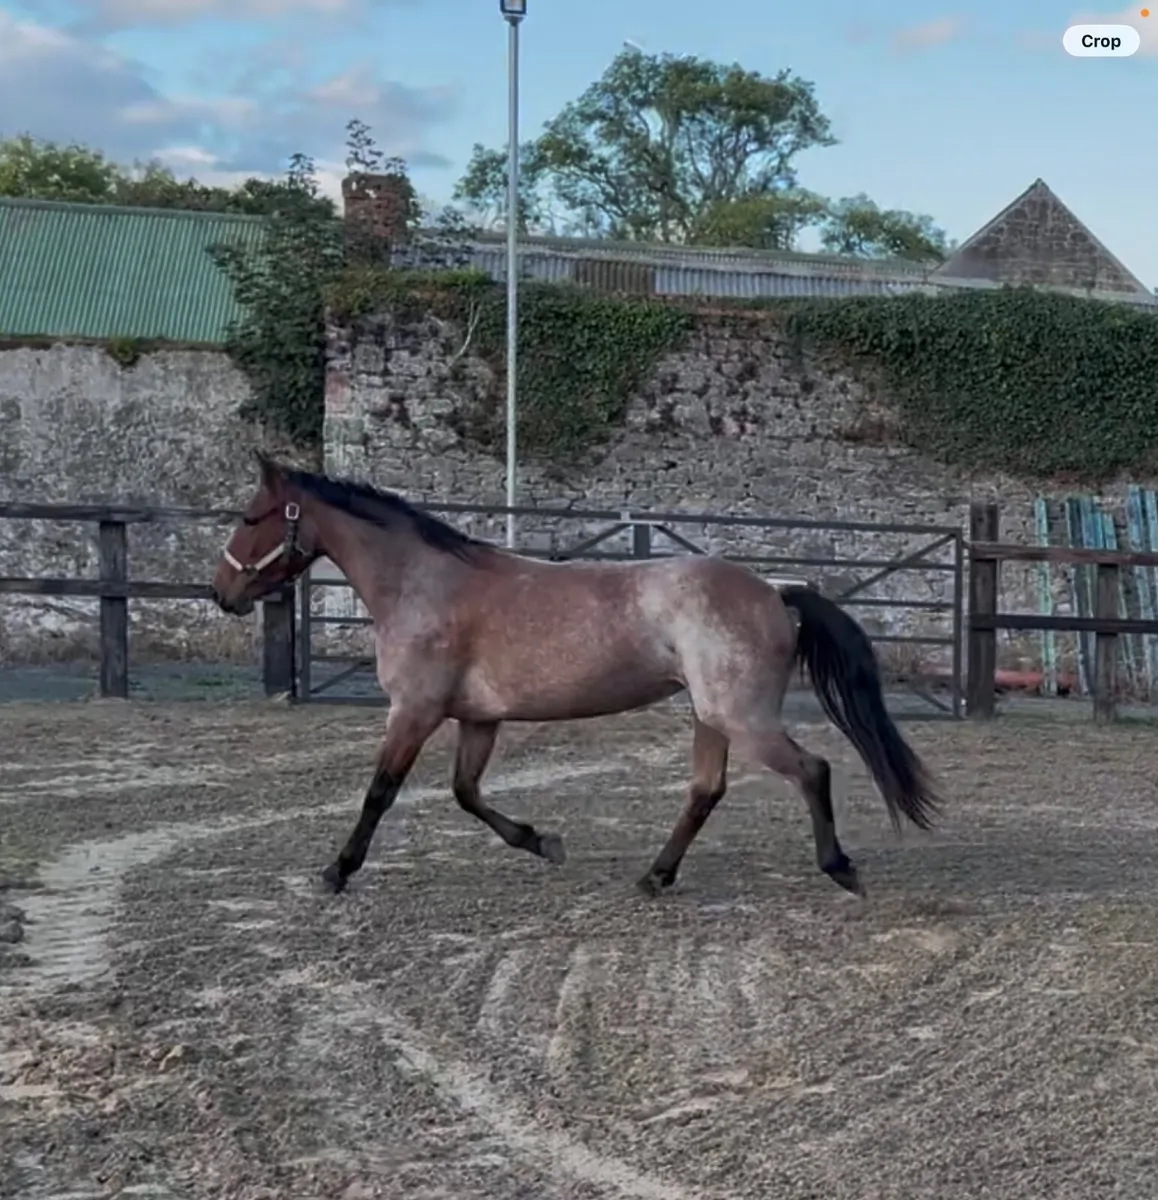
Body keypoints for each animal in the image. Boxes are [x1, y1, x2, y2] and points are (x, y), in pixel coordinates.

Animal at [211, 453, 939, 899]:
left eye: (249, 517)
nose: (222, 593)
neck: (424, 584)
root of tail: (775, 592)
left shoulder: (414, 712)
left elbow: (380, 793)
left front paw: (336, 871)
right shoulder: (478, 719)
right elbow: (466, 793)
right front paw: (543, 843)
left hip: (743, 717)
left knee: (811, 770)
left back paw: (840, 868)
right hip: (711, 715)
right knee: (705, 791)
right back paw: (654, 877)